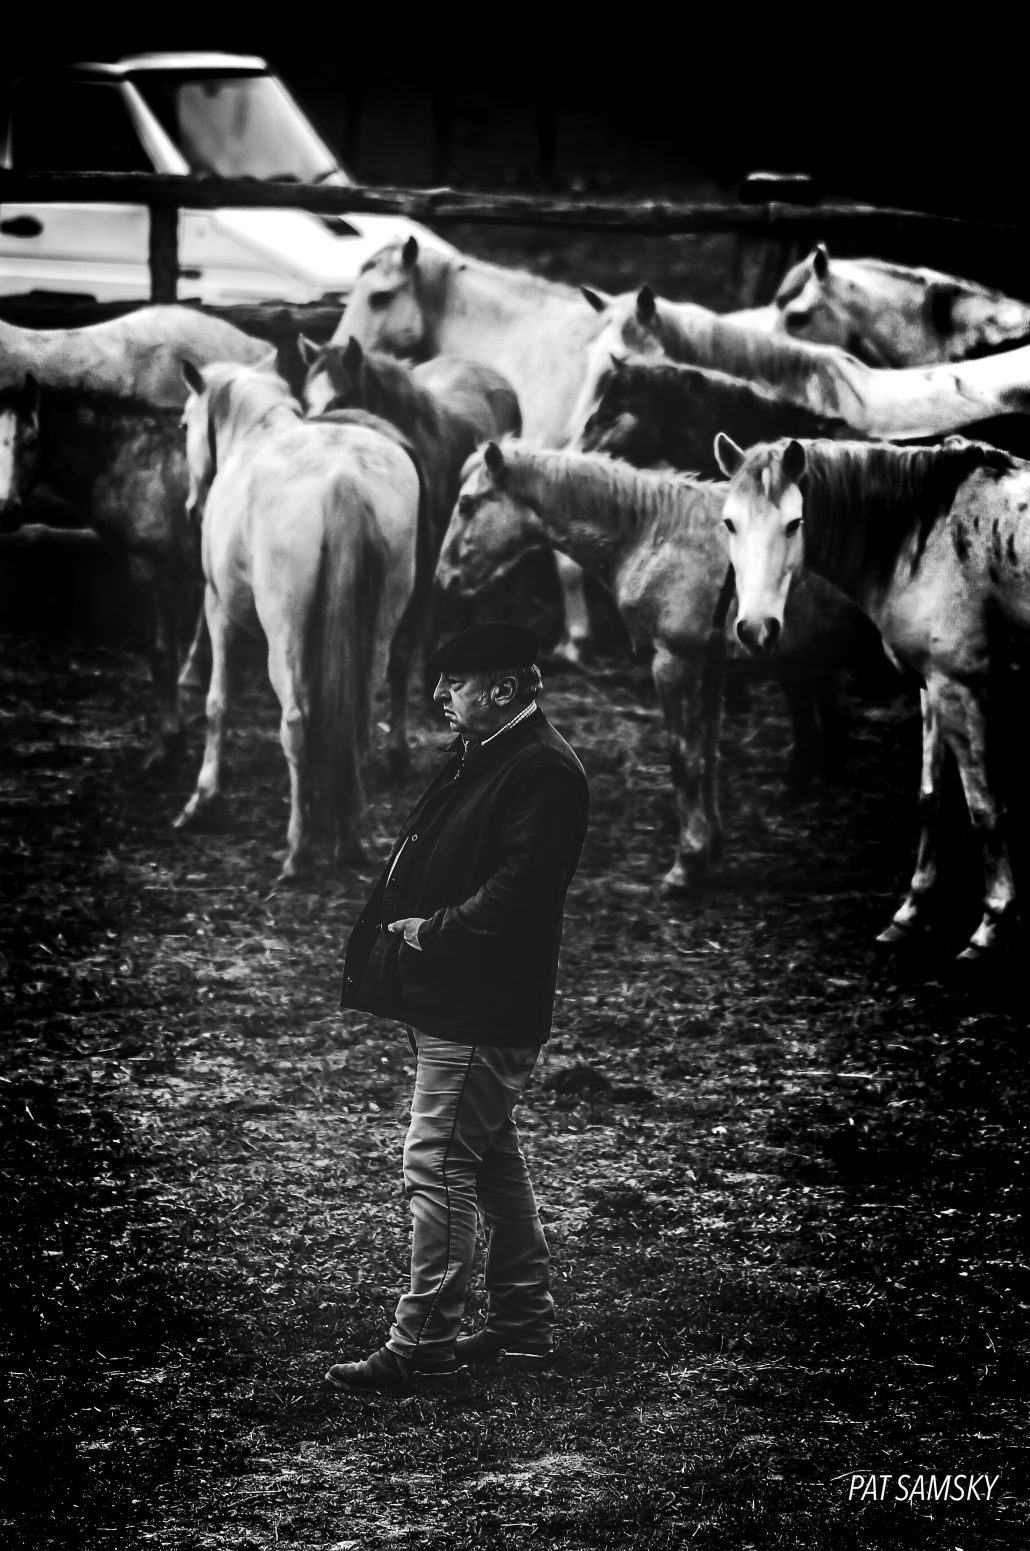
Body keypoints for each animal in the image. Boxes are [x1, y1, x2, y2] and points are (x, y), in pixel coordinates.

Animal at [176, 361, 423, 881]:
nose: (191, 509)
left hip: (283, 636)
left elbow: (217, 702)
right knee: (356, 719)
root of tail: (343, 478)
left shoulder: (218, 607)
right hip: (376, 633)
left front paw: (203, 799)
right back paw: (352, 836)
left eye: (185, 425)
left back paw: (297, 849)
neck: (256, 429)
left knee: (294, 722)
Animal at [436, 439, 881, 893]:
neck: (659, 537)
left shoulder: (674, 661)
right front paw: (711, 848)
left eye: (466, 504)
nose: (444, 578)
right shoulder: (711, 668)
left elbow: (684, 759)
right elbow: (707, 756)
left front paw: (688, 863)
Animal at [714, 432, 1030, 961]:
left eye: (794, 523)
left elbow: (986, 809)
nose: (757, 629)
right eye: (729, 522)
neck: (928, 537)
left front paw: (992, 923)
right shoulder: (932, 688)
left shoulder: (960, 687)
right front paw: (912, 911)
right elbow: (930, 798)